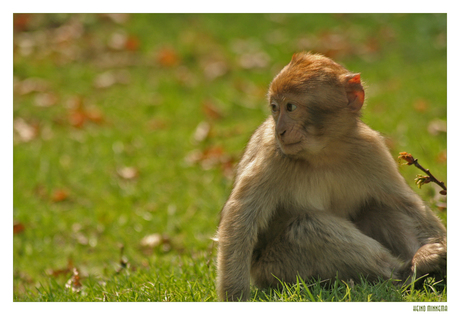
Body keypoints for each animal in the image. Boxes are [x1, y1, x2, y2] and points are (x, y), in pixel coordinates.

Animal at [216, 53, 446, 302]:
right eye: (275, 108)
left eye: (291, 107)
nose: (281, 131)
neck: (324, 152)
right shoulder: (273, 156)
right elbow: (241, 218)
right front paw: (235, 296)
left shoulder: (371, 149)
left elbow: (406, 203)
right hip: (273, 269)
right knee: (308, 228)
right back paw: (408, 272)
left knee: (380, 207)